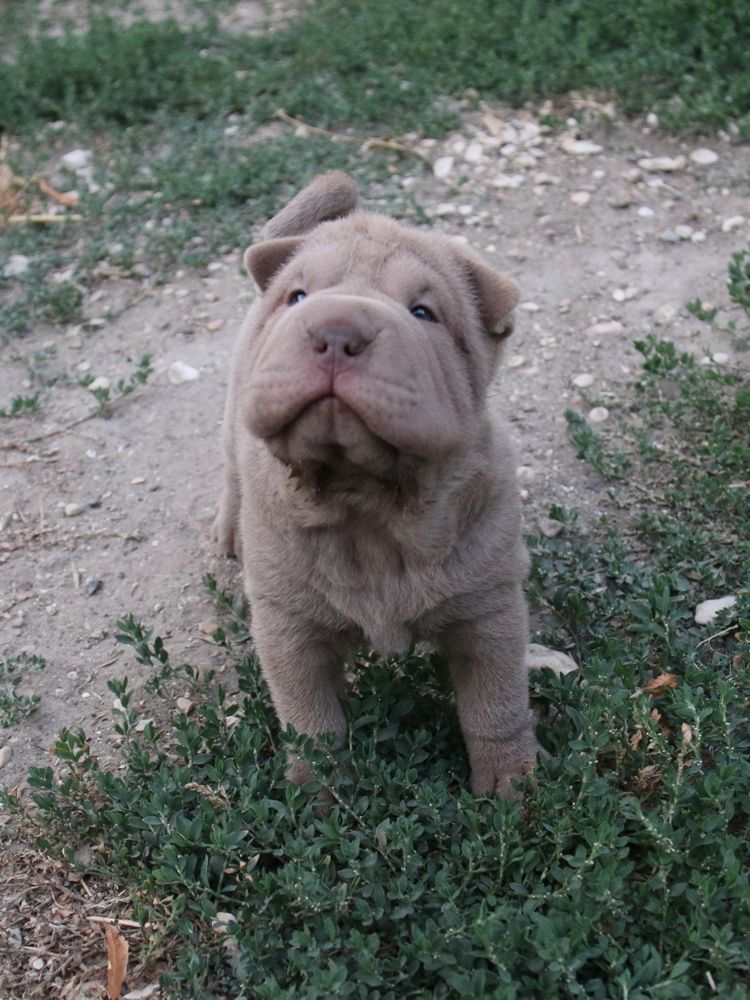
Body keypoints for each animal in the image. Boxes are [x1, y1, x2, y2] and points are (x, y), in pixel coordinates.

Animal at [214, 172, 542, 798]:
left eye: (423, 312)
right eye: (297, 297)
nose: (337, 328)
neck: (367, 505)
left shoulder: (490, 609)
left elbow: (497, 705)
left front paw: (512, 785)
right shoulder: (288, 627)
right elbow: (311, 722)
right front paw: (318, 799)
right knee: (230, 472)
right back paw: (227, 533)